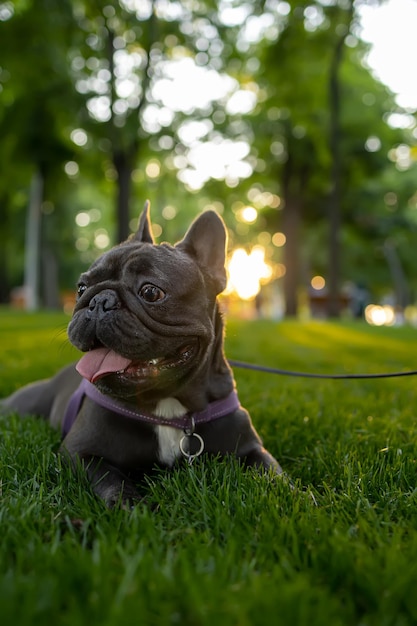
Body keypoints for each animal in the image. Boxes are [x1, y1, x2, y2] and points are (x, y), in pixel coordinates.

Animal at [0, 202, 282, 504]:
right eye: (81, 288)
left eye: (150, 292)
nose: (99, 301)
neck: (167, 407)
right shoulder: (79, 452)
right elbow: (110, 479)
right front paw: (133, 506)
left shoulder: (252, 449)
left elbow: (275, 477)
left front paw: (296, 495)